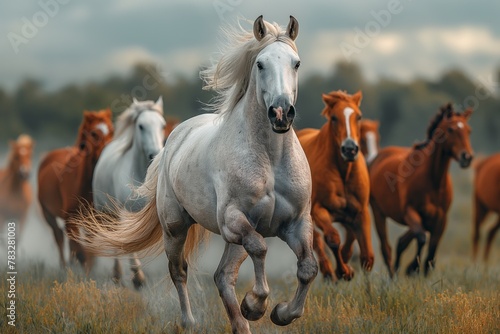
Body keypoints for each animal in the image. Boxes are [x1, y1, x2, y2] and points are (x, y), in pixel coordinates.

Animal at [37, 109, 113, 272]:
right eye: (94, 133)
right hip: (48, 214)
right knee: (59, 236)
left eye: (111, 131)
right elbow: (81, 252)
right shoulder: (71, 219)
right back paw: (64, 267)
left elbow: (89, 251)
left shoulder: (94, 220)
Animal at [92, 96, 166, 288]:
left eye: (162, 125)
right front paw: (138, 278)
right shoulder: (125, 214)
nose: (154, 154)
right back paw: (118, 275)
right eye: (141, 126)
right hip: (106, 212)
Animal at [294, 90, 374, 280]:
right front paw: (344, 271)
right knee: (316, 240)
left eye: (359, 116)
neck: (343, 172)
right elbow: (332, 238)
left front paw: (347, 265)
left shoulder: (360, 210)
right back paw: (328, 272)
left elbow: (365, 253)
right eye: (334, 118)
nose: (350, 149)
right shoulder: (318, 210)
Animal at [372, 104, 472, 276]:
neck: (434, 183)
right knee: (387, 249)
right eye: (451, 129)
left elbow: (431, 253)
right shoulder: (410, 212)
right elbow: (422, 238)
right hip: (379, 213)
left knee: (402, 242)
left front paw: (420, 271)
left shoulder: (441, 219)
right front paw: (413, 268)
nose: (467, 157)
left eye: (469, 130)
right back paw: (393, 276)